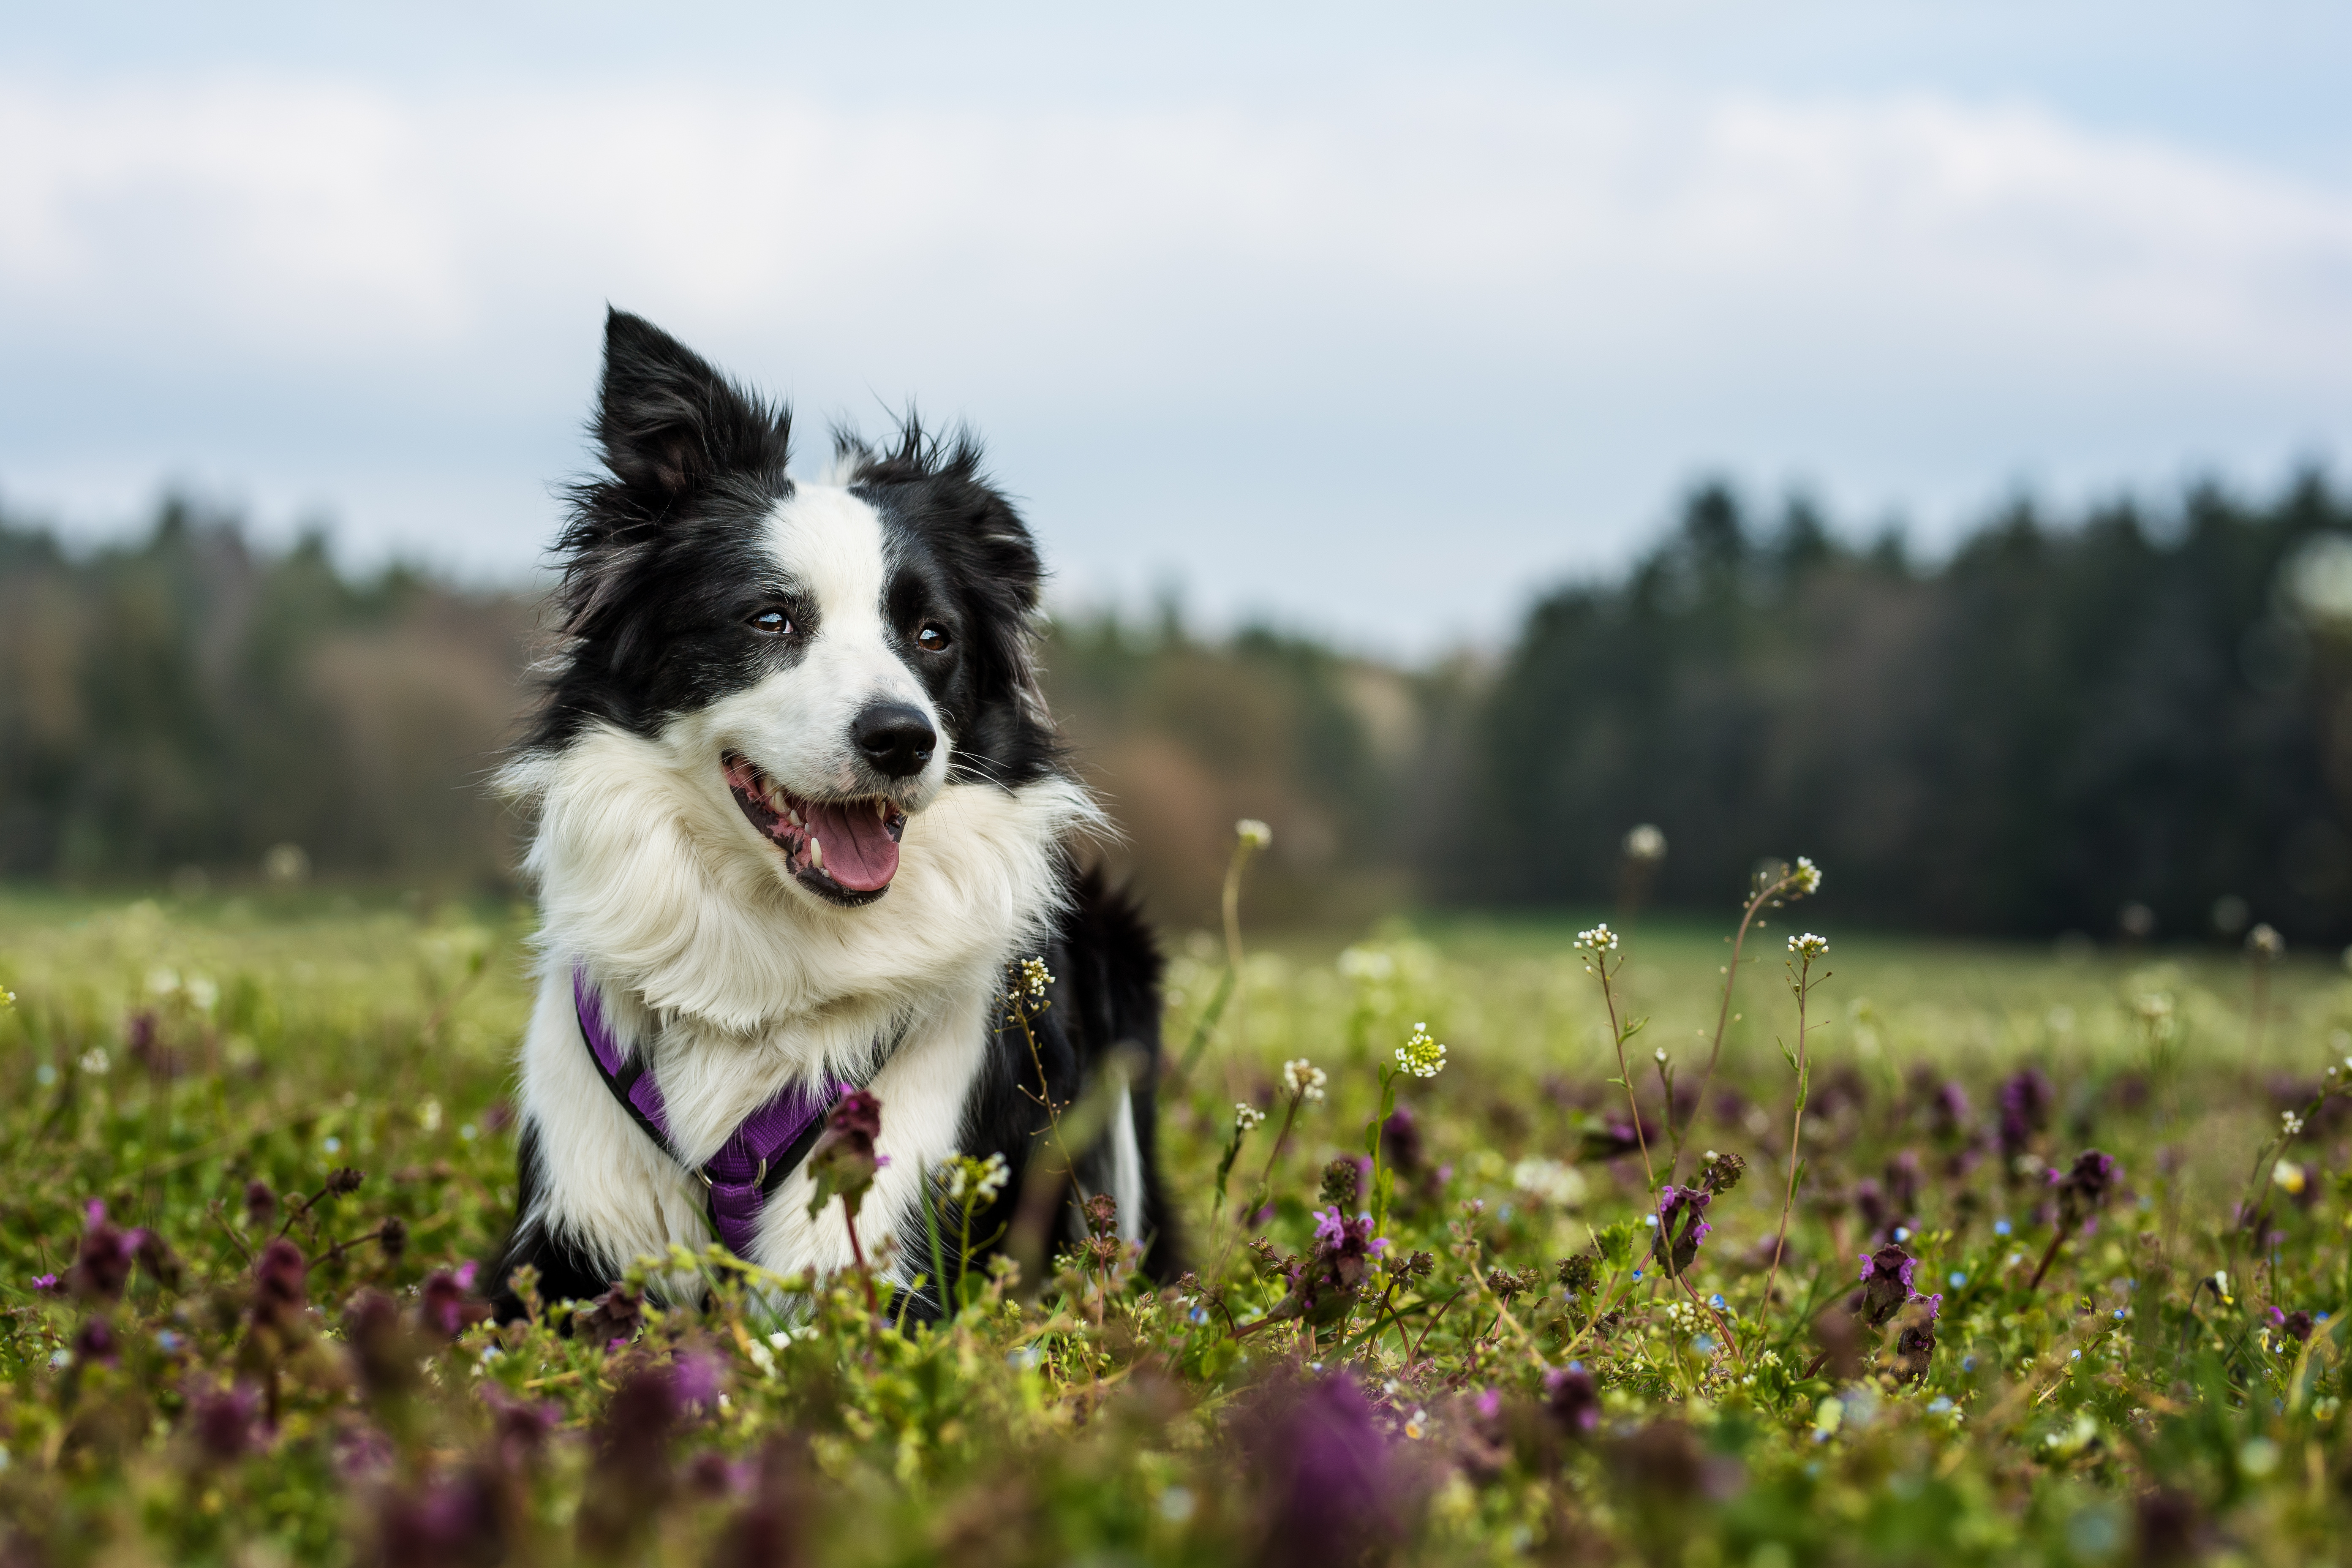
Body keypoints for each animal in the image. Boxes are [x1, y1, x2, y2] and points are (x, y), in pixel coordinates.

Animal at [485, 313, 1176, 1316]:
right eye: (770, 619)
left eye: (933, 635)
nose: (902, 739)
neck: (769, 958)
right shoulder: (565, 1252)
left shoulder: (893, 1270)